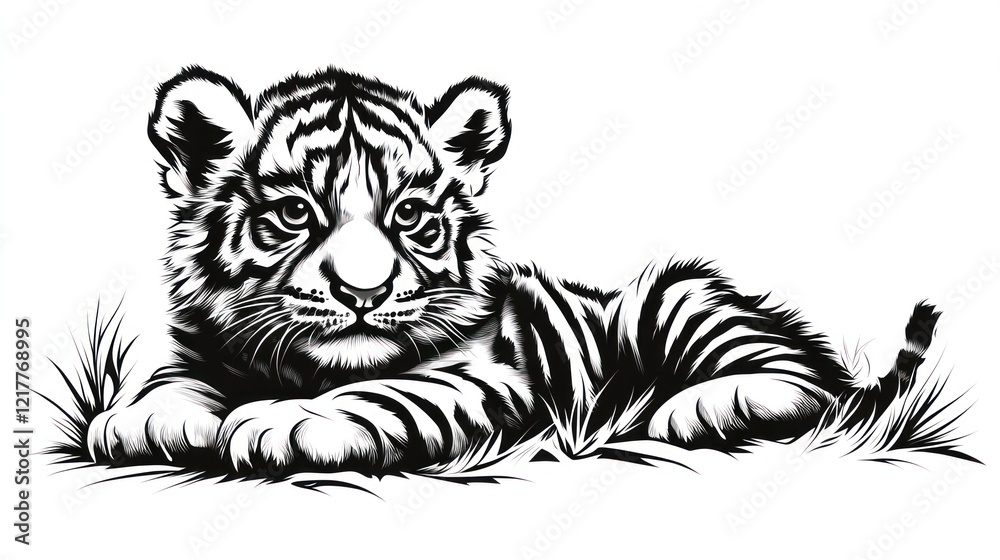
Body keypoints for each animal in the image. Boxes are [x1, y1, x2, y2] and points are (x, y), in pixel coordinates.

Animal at [87, 65, 938, 475]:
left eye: (410, 217)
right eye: (296, 213)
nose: (363, 293)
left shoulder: (485, 374)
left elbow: (385, 392)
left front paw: (290, 423)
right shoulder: (200, 345)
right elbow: (171, 380)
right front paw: (145, 418)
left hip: (674, 298)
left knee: (806, 378)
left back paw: (697, 406)